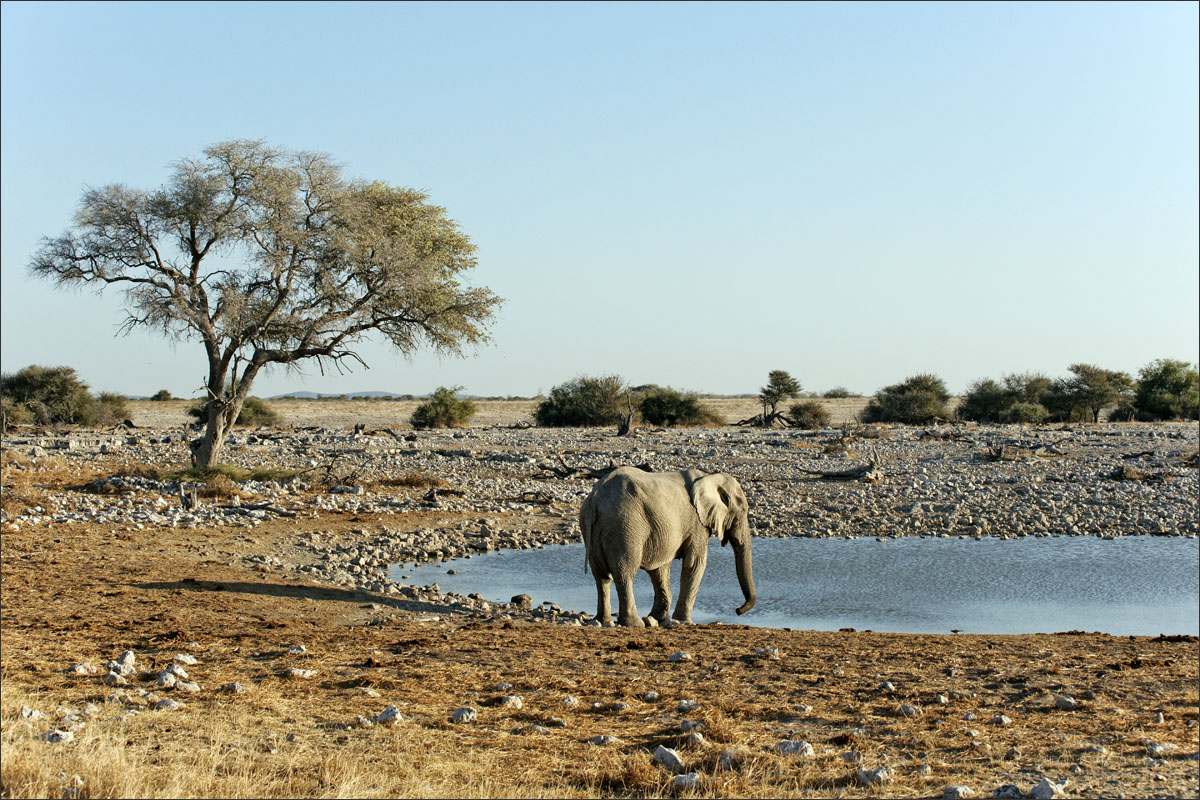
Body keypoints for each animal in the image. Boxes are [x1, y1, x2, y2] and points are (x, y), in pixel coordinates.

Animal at [576, 465, 753, 628]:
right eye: (744, 510)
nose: (738, 610)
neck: (709, 477)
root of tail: (594, 500)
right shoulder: (697, 524)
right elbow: (694, 564)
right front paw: (684, 622)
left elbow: (659, 569)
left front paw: (658, 618)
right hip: (624, 526)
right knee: (624, 572)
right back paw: (634, 624)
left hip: (592, 527)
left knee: (601, 576)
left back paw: (603, 621)